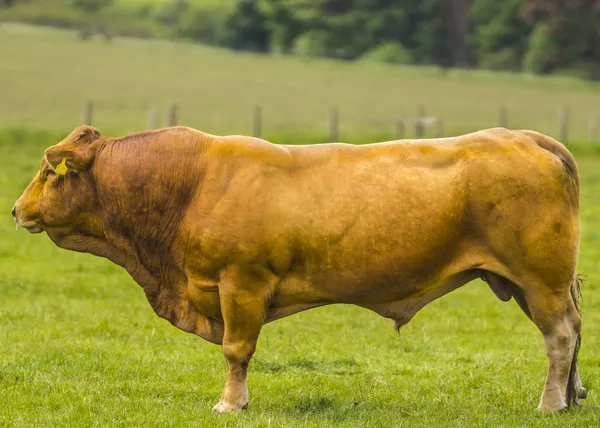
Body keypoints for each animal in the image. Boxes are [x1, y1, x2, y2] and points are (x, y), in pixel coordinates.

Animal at [12, 125, 584, 412]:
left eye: (49, 172)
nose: (16, 209)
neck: (192, 183)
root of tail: (526, 136)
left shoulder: (242, 283)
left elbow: (236, 350)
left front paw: (231, 404)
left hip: (540, 278)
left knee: (559, 336)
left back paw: (550, 404)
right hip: (533, 282)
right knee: (574, 332)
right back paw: (574, 395)